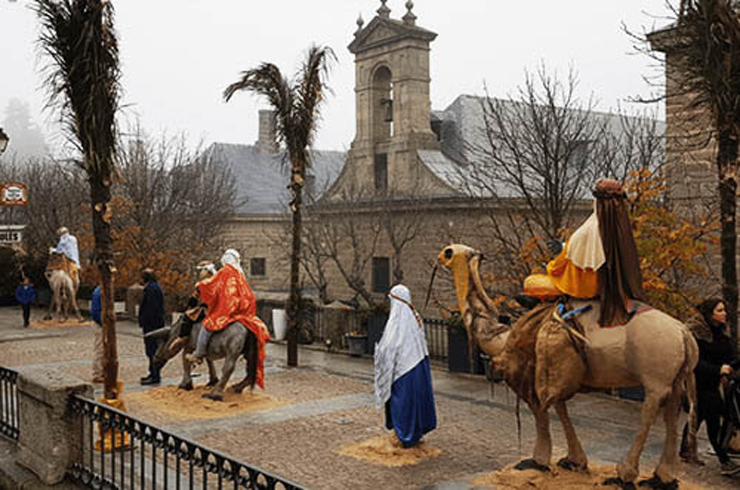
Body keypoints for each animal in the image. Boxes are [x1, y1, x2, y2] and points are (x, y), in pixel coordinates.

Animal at [434, 243, 700, 488]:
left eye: (448, 252)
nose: (438, 258)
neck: (503, 337)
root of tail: (684, 333)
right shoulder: (553, 373)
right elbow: (560, 408)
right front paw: (574, 461)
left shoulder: (529, 373)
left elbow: (540, 413)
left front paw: (537, 461)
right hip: (675, 377)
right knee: (672, 413)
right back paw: (661, 478)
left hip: (656, 373)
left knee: (650, 410)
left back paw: (623, 474)